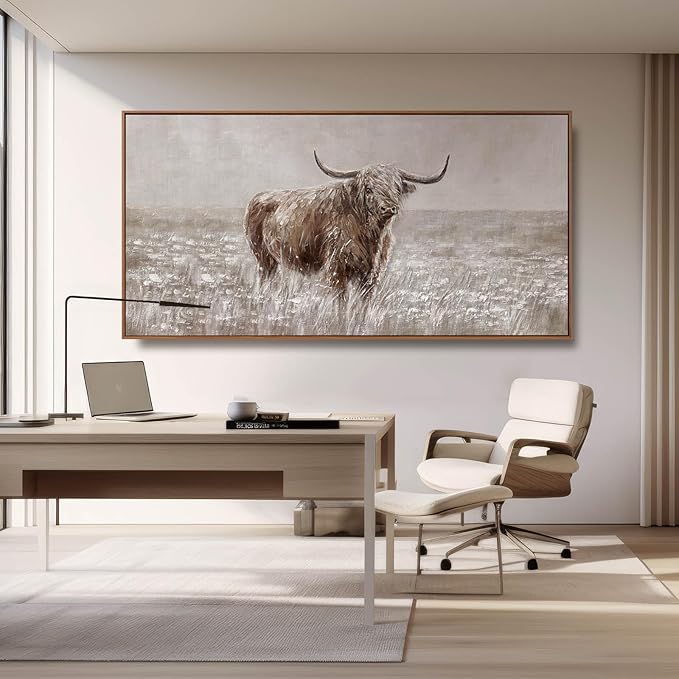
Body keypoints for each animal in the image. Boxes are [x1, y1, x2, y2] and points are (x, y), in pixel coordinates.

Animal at [244, 151, 450, 297]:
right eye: (369, 188)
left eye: (397, 188)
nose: (388, 208)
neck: (372, 236)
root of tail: (259, 196)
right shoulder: (337, 271)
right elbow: (341, 307)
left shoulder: (370, 277)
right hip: (263, 258)